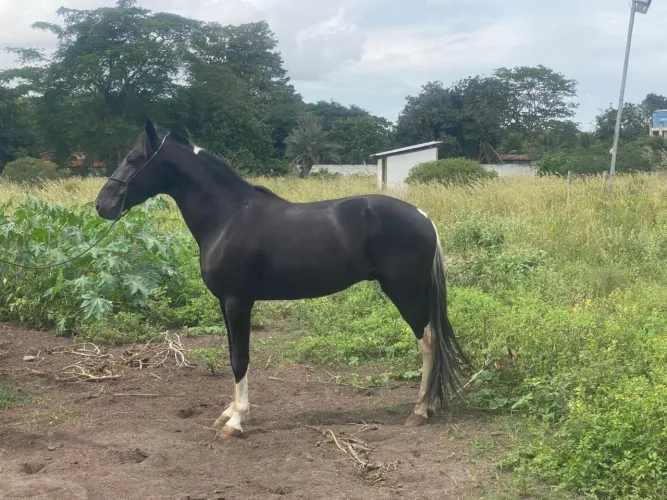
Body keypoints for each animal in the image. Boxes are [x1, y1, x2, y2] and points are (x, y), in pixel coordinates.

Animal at [95, 119, 468, 438]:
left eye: (132, 159)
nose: (102, 204)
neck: (228, 217)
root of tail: (423, 216)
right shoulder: (225, 303)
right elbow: (232, 353)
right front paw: (229, 412)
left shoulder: (238, 301)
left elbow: (239, 358)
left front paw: (236, 421)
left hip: (406, 293)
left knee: (428, 342)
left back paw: (420, 411)